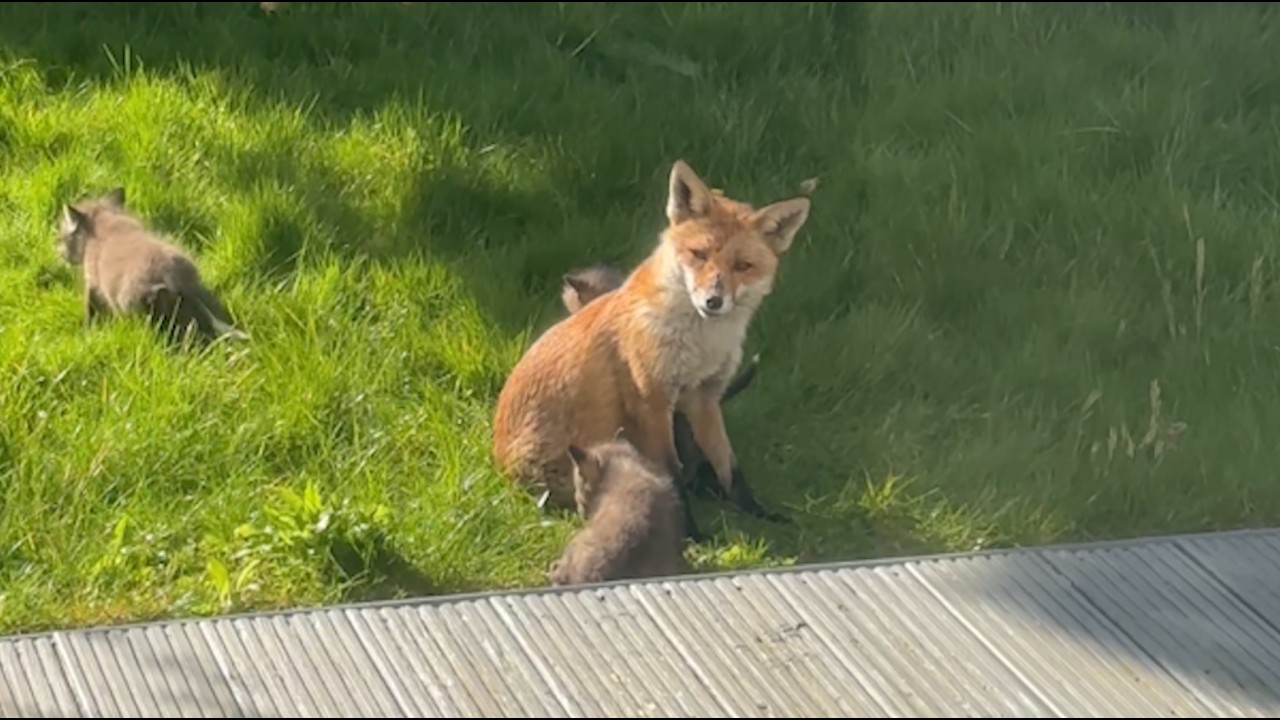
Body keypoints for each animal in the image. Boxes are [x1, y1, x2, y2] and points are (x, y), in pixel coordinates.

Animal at [56, 187, 248, 345]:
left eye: (62, 236)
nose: (60, 254)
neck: (103, 225)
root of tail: (179, 277)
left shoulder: (92, 284)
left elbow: (90, 313)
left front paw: (88, 334)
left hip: (137, 310)